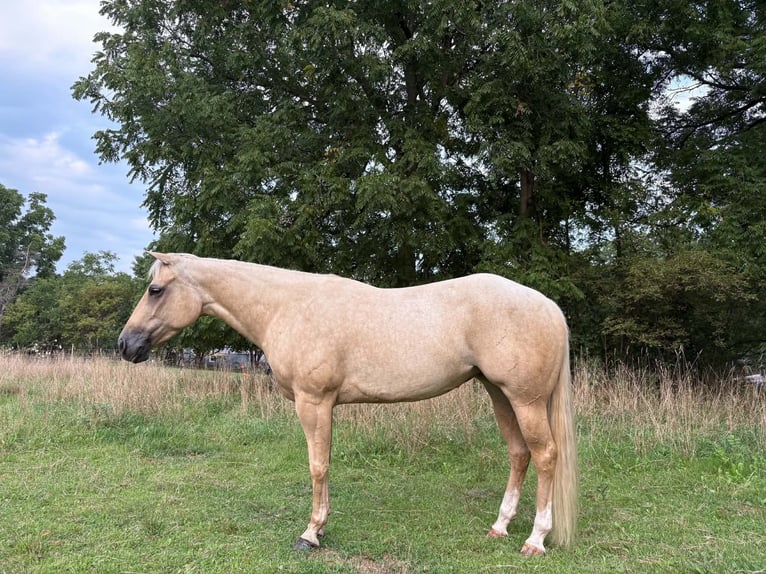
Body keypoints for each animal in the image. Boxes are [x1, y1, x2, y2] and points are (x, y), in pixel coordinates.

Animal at [118, 252, 578, 556]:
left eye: (155, 289)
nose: (126, 345)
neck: (288, 307)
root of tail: (549, 306)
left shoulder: (314, 403)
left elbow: (317, 466)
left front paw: (310, 534)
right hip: (500, 395)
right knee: (519, 454)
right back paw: (499, 527)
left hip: (525, 400)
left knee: (545, 456)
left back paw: (535, 539)